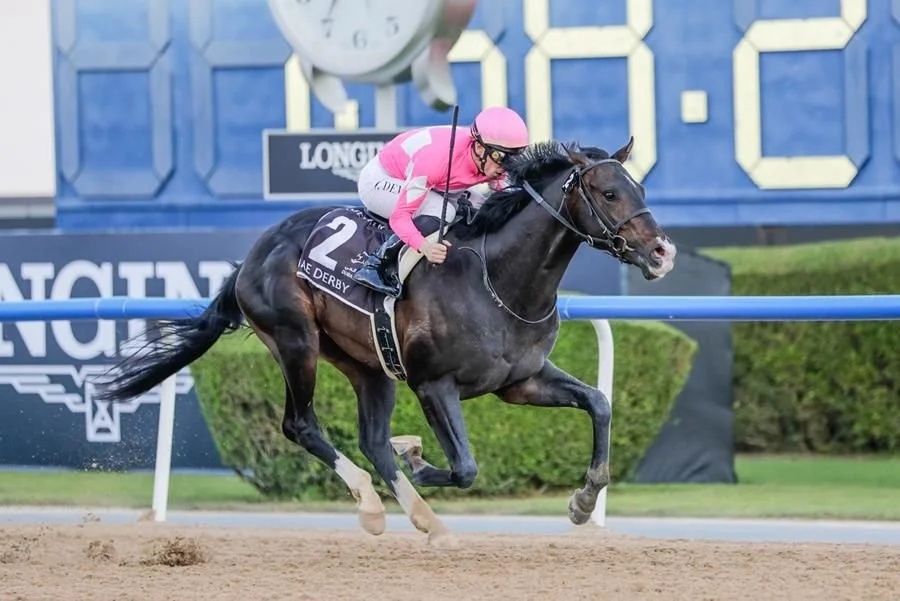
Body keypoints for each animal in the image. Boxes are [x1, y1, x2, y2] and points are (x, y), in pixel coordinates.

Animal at [95, 136, 676, 547]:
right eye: (608, 193)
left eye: (642, 190)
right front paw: (417, 456)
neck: (498, 278)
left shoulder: (521, 380)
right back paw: (374, 506)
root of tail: (255, 253)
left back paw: (424, 517)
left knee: (372, 439)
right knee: (300, 424)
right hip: (296, 340)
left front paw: (583, 501)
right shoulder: (435, 385)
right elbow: (465, 468)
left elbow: (599, 403)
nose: (662, 252)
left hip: (368, 365)